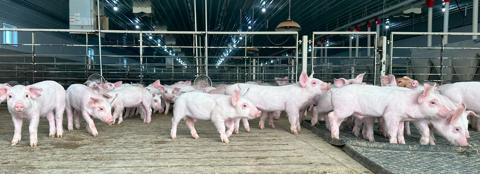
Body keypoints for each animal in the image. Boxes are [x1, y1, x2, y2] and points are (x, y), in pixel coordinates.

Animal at [328, 83, 466, 145]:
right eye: (432, 102)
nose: (466, 144)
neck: (409, 103)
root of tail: (335, 91)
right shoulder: (391, 114)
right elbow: (393, 129)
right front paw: (393, 142)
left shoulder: (402, 119)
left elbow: (400, 130)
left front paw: (402, 142)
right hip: (344, 109)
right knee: (332, 116)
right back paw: (336, 137)